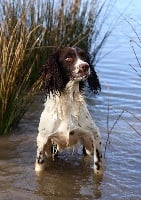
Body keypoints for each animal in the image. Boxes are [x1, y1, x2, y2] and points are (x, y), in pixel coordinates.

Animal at [34, 46, 103, 174]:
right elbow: (39, 166)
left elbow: (98, 165)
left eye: (84, 56)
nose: (85, 66)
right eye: (68, 58)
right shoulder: (42, 140)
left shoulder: (95, 136)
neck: (69, 103)